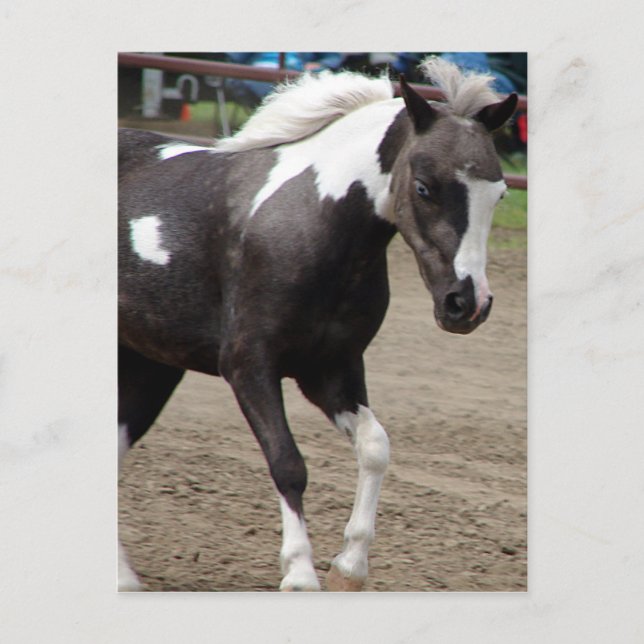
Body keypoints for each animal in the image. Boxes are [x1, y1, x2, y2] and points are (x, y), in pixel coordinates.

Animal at [118, 57, 517, 592]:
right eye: (424, 187)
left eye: (499, 194)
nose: (468, 304)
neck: (313, 224)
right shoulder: (248, 367)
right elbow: (288, 463)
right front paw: (300, 573)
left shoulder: (331, 371)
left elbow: (375, 447)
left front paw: (349, 567)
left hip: (152, 364)